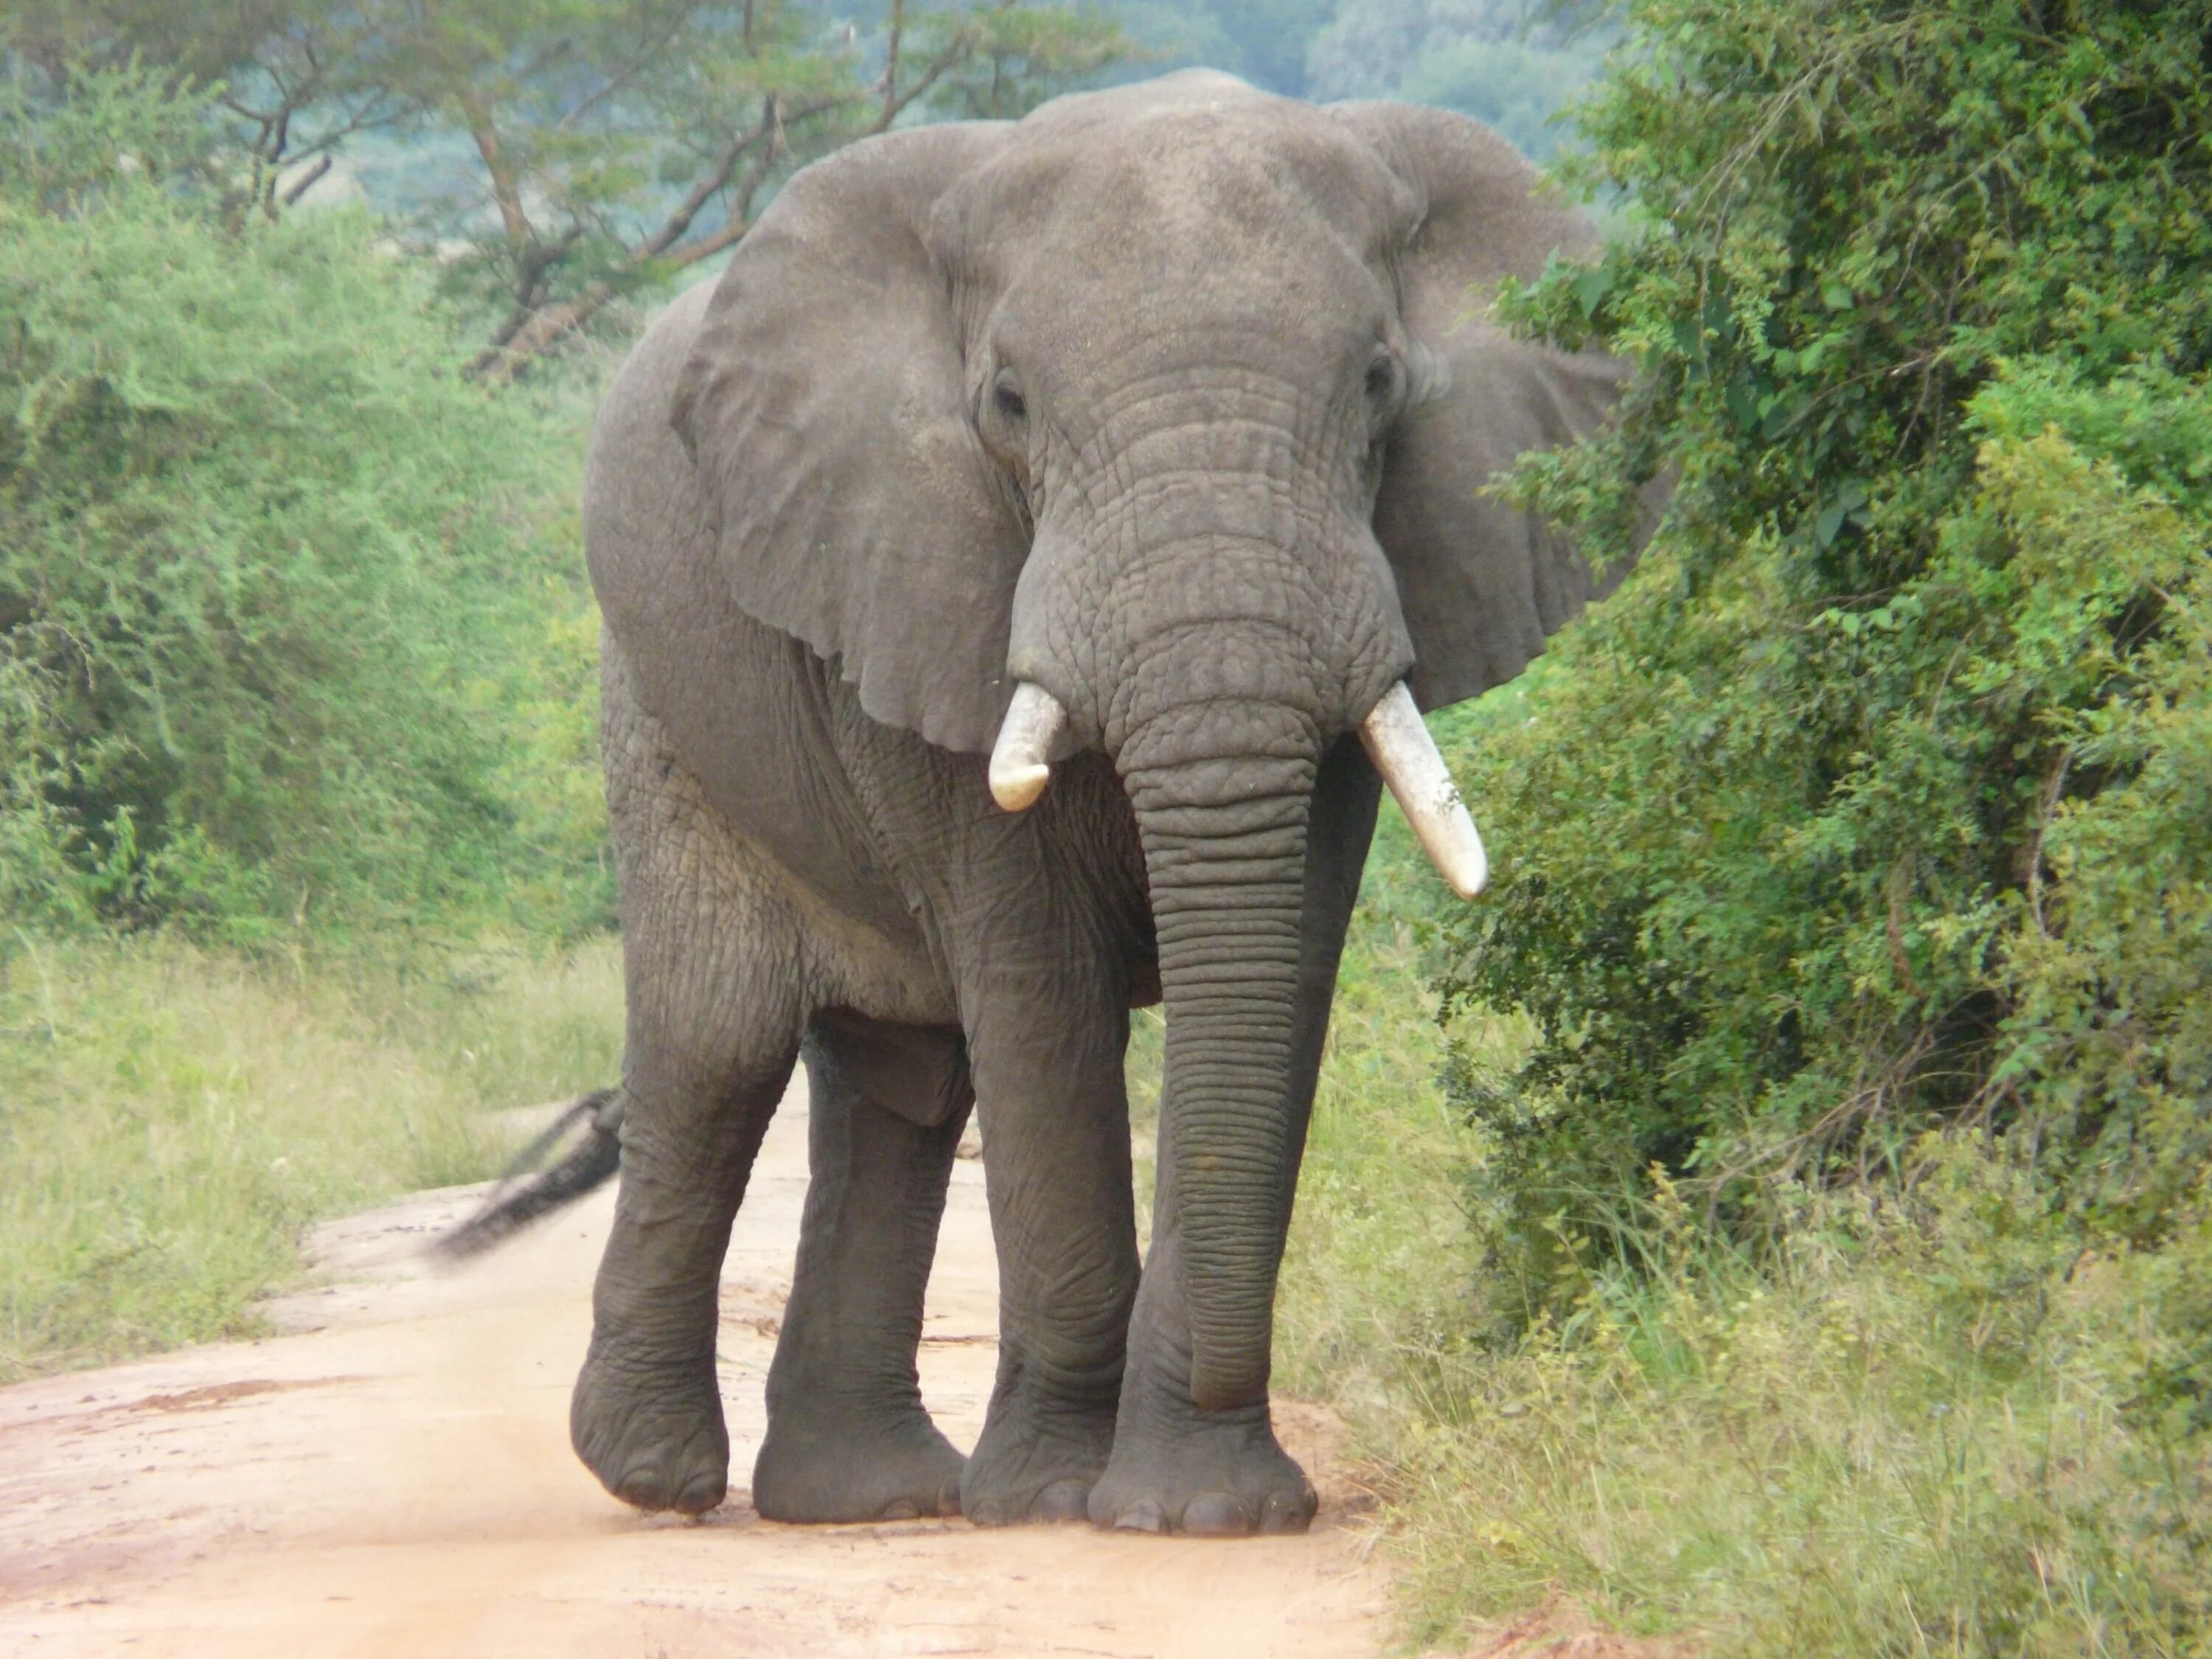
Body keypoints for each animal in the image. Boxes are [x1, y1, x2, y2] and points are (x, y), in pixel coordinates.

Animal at [566, 68, 1646, 1548]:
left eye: (1379, 385)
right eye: (1010, 402)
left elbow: (1278, 978)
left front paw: (1201, 1509)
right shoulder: (923, 571)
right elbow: (1040, 990)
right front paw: (1054, 1502)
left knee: (900, 1078)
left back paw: (866, 1497)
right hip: (659, 697)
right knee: (717, 1042)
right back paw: (660, 1479)